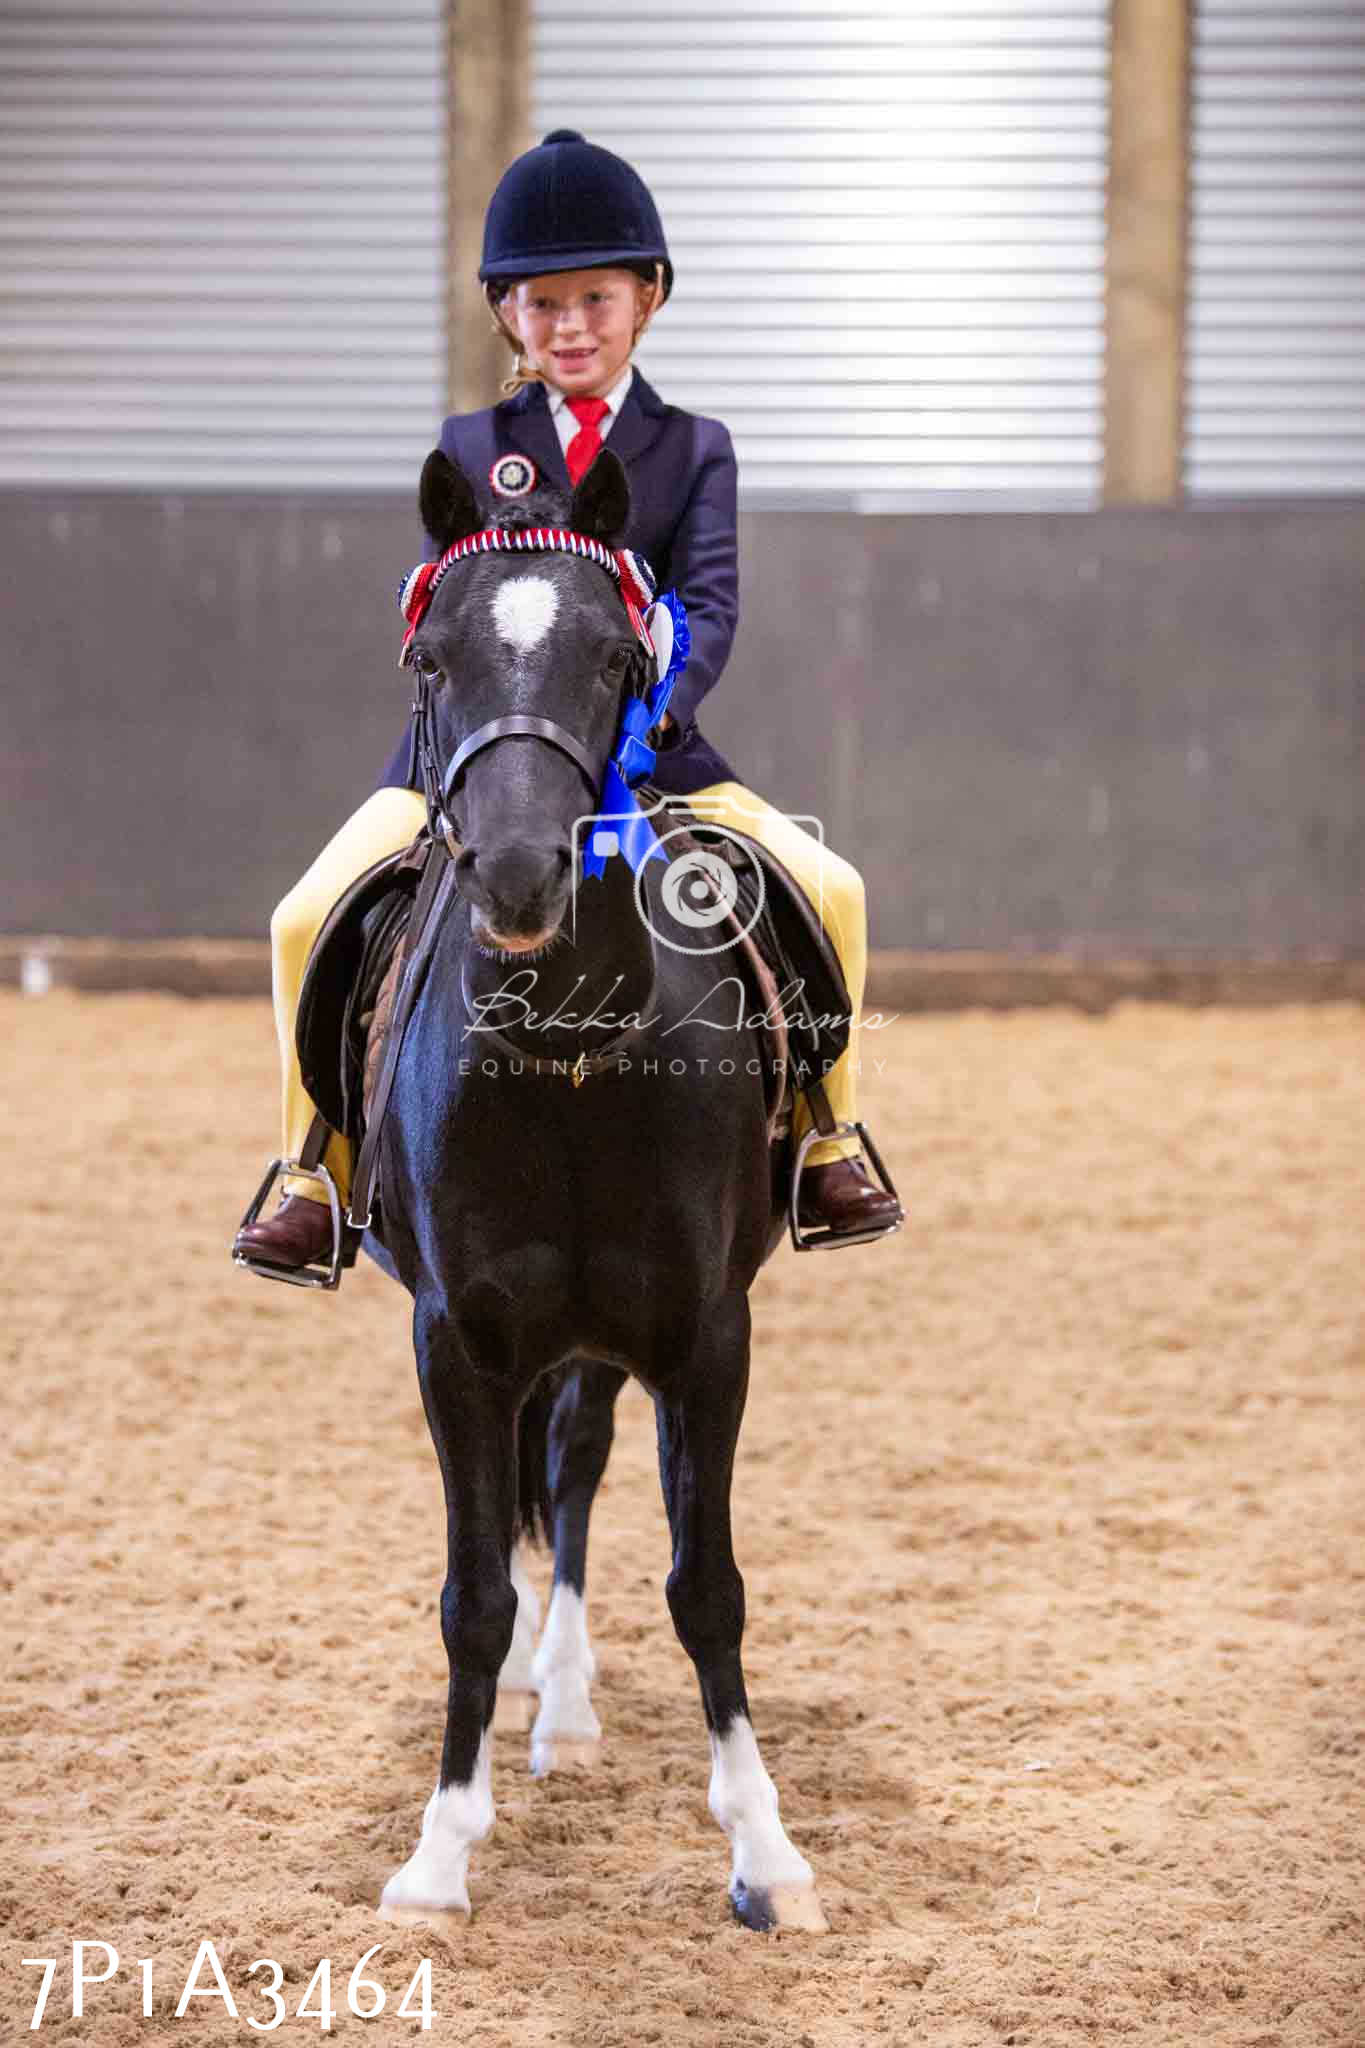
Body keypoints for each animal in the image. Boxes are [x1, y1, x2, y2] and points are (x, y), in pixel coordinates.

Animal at [376, 452, 834, 1933]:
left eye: (621, 657)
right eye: (432, 658)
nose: (522, 871)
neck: (567, 1049)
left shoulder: (707, 1336)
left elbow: (709, 1586)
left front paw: (766, 1851)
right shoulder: (455, 1341)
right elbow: (469, 1592)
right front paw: (440, 1852)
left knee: (575, 1468)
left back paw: (567, 1706)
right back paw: (546, 1692)